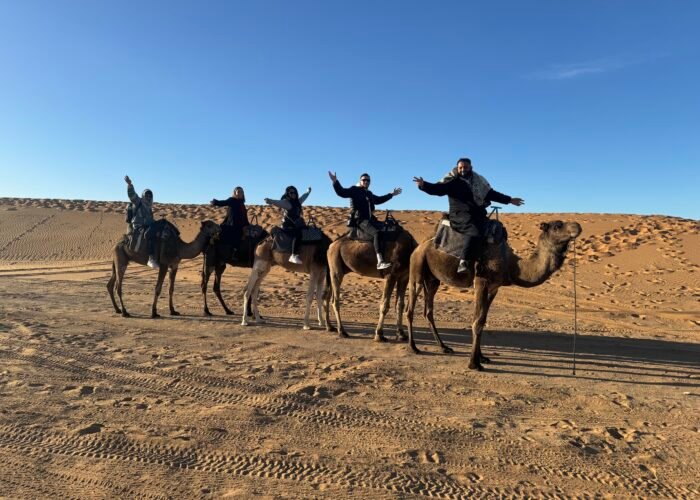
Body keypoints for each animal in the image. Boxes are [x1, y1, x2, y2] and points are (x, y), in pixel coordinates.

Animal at [406, 220, 581, 370]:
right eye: (557, 226)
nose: (577, 226)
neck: (510, 264)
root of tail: (420, 245)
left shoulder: (493, 288)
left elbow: (482, 320)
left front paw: (482, 357)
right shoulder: (481, 283)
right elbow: (476, 322)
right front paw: (474, 364)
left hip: (433, 279)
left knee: (428, 310)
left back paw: (443, 347)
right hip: (417, 270)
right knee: (410, 309)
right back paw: (413, 347)